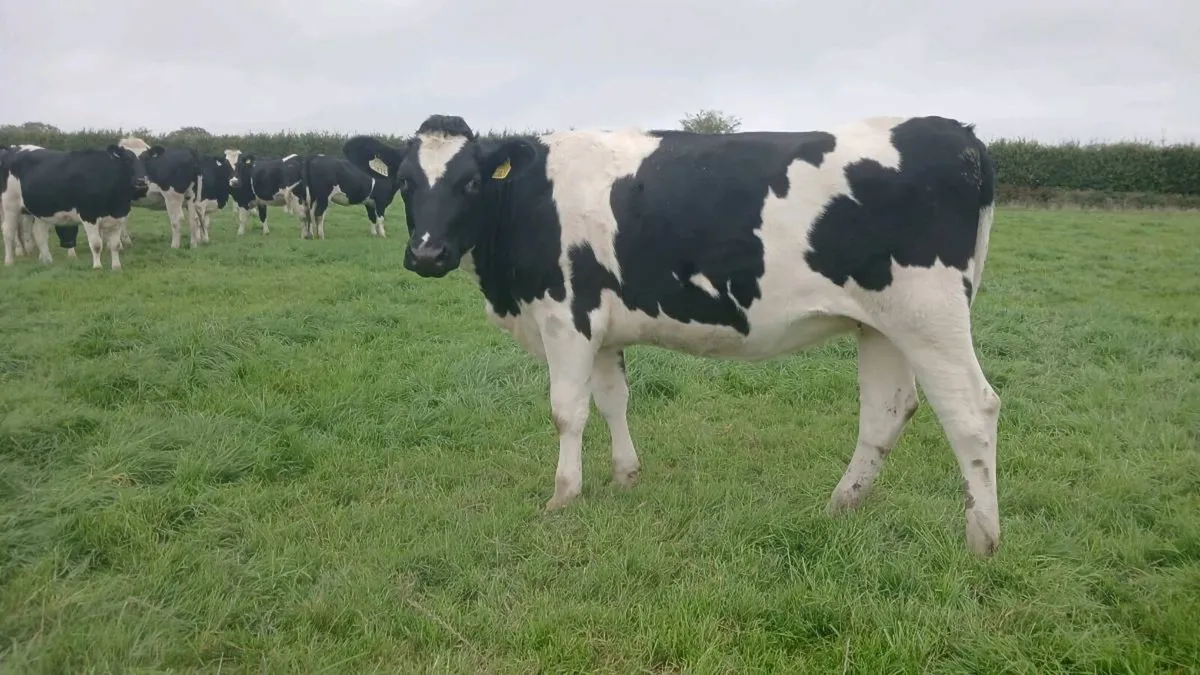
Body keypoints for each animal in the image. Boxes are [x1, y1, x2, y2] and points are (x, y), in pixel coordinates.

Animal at [2, 144, 149, 270]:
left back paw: (48, 260)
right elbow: (96, 244)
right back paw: (9, 261)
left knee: (39, 233)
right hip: (10, 205)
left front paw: (117, 267)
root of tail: (14, 148)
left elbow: (115, 245)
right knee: (8, 232)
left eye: (146, 162)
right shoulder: (89, 215)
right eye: (127, 160)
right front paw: (97, 266)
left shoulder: (118, 218)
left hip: (43, 209)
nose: (142, 182)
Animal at [342, 113, 1003, 558]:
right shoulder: (603, 328)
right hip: (882, 324)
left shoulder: (565, 316)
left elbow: (567, 411)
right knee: (888, 409)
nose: (427, 254)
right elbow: (613, 400)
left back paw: (983, 538)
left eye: (472, 183)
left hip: (929, 313)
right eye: (406, 182)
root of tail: (957, 132)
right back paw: (842, 504)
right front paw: (625, 477)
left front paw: (563, 495)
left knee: (972, 409)